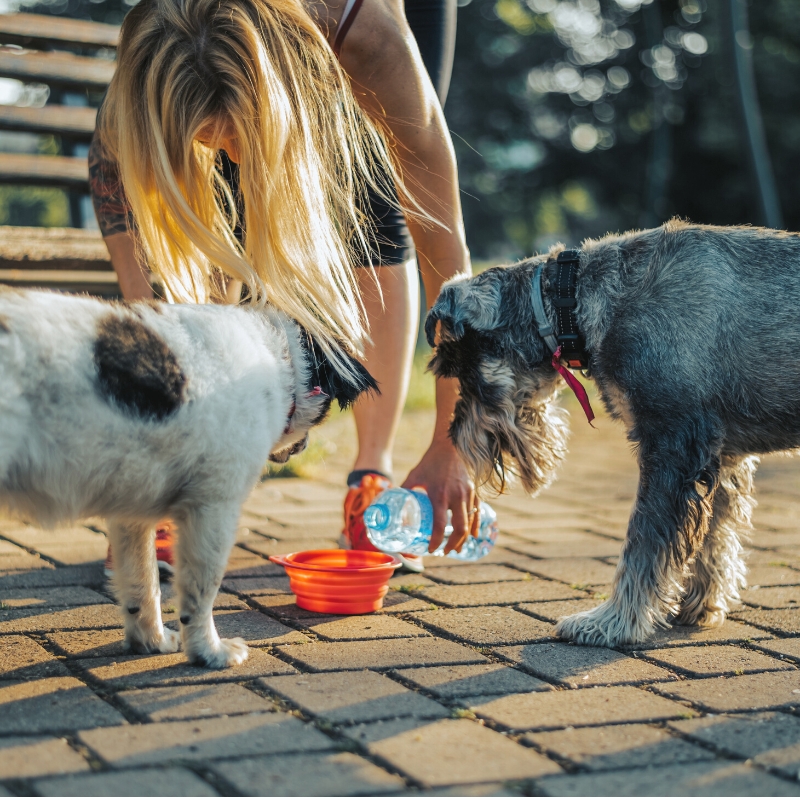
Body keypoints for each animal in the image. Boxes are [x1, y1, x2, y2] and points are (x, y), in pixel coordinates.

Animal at [428, 220, 796, 648]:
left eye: (460, 370)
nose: (455, 435)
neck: (572, 301)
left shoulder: (672, 443)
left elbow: (642, 545)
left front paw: (612, 622)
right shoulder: (721, 456)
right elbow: (714, 537)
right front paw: (699, 604)